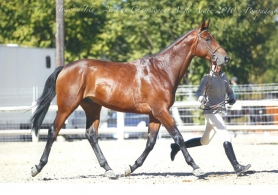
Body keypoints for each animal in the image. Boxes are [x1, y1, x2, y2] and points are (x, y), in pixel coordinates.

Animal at [31, 20, 230, 179]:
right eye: (207, 38)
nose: (225, 58)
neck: (162, 70)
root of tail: (65, 68)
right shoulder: (161, 111)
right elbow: (178, 137)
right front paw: (197, 168)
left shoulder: (155, 115)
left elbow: (150, 143)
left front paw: (130, 168)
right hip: (67, 106)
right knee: (53, 131)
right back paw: (37, 167)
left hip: (92, 108)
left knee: (91, 135)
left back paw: (109, 170)